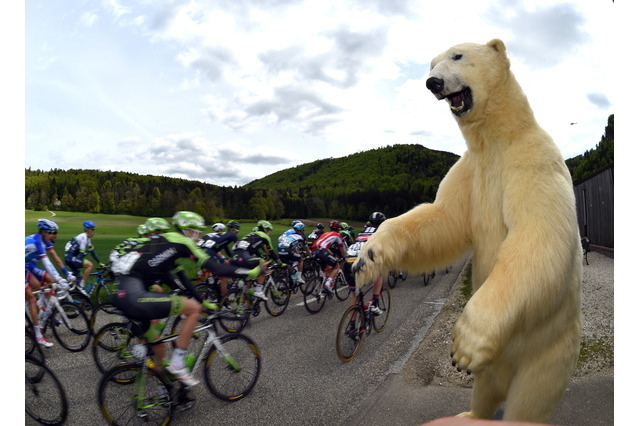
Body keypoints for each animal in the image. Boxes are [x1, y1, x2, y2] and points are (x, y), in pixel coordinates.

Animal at [352, 39, 584, 422]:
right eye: (430, 63)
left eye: (457, 55)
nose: (432, 82)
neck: (496, 138)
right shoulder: (470, 170)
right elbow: (443, 218)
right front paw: (368, 256)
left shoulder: (533, 158)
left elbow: (537, 233)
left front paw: (465, 343)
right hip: (502, 365)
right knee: (486, 387)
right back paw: (471, 414)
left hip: (551, 348)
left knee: (531, 397)